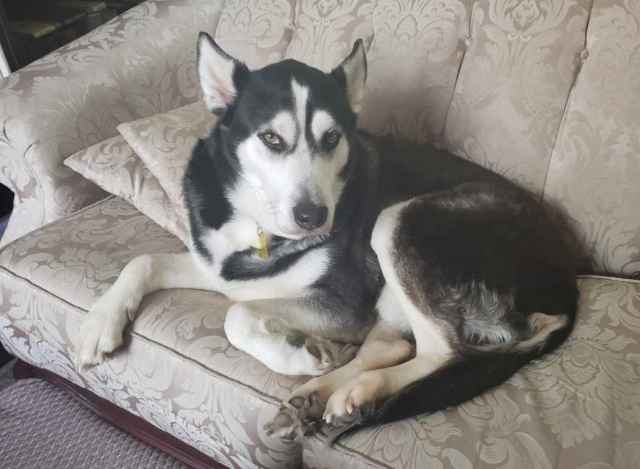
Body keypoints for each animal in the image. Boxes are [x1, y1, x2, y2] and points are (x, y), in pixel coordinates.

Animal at [74, 33, 578, 443]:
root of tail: (567, 281)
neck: (260, 226)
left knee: (442, 351)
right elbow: (143, 261)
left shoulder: (343, 304)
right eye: (271, 139)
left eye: (333, 137)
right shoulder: (218, 267)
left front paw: (299, 356)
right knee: (394, 344)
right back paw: (316, 397)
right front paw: (99, 323)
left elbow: (236, 315)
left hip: (397, 221)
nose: (313, 216)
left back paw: (359, 388)